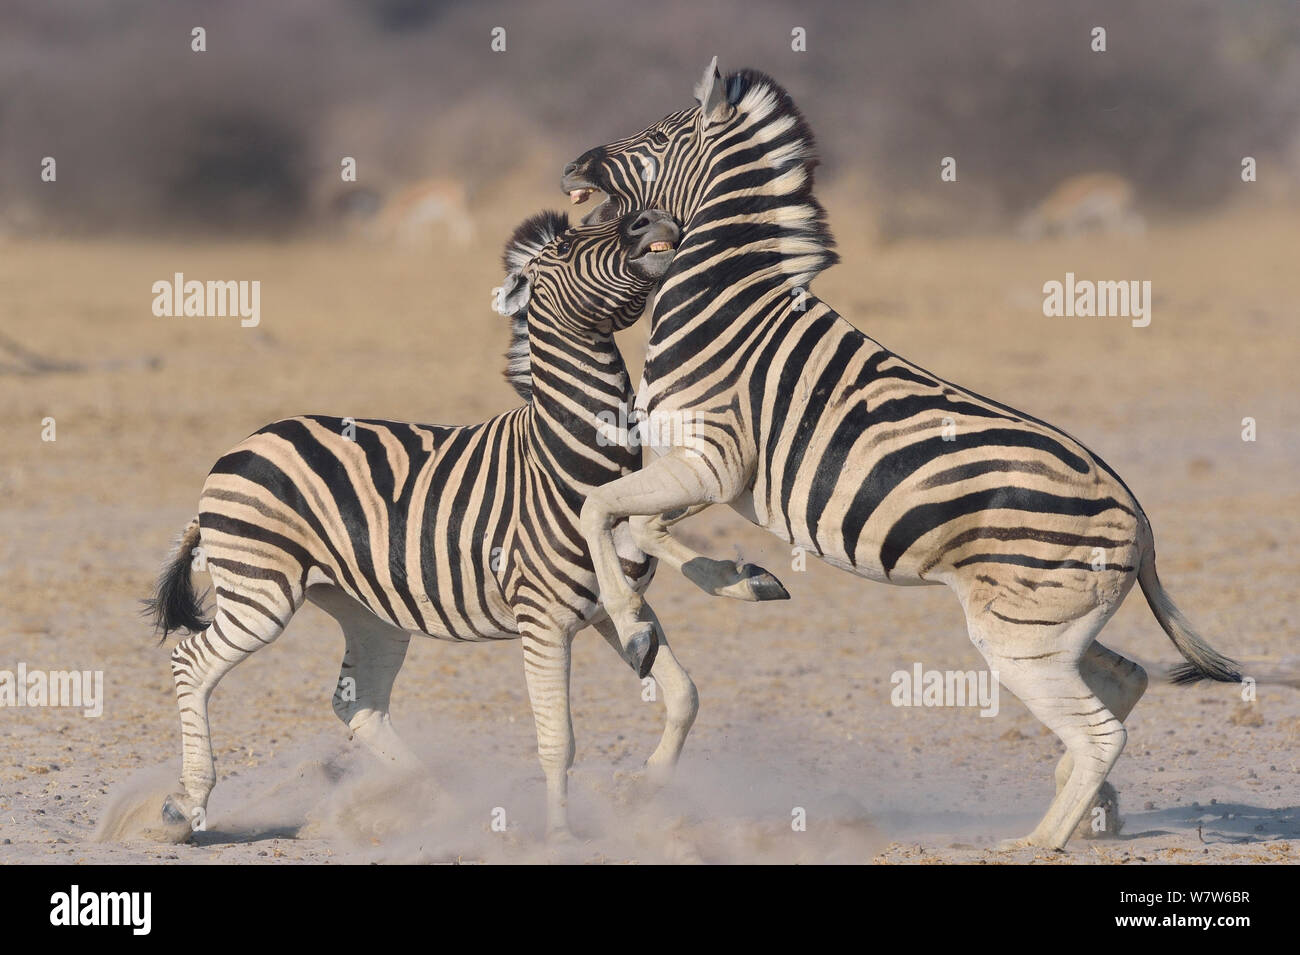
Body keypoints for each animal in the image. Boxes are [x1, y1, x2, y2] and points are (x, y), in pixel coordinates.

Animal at [141, 205, 769, 841]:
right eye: (568, 246)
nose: (653, 218)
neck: (573, 461)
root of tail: (245, 443)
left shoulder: (611, 611)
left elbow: (684, 694)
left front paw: (647, 787)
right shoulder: (543, 621)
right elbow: (558, 742)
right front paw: (561, 837)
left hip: (366, 610)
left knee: (359, 704)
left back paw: (444, 807)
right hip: (261, 592)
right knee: (192, 663)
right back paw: (184, 809)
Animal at [556, 59, 1237, 852]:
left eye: (659, 137)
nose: (571, 166)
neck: (721, 303)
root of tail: (1142, 517)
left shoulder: (711, 460)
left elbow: (598, 508)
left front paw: (634, 625)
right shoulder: (708, 474)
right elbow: (638, 526)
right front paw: (738, 581)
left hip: (1018, 635)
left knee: (1099, 732)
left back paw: (1036, 842)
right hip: (1046, 624)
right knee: (1124, 681)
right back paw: (1091, 810)